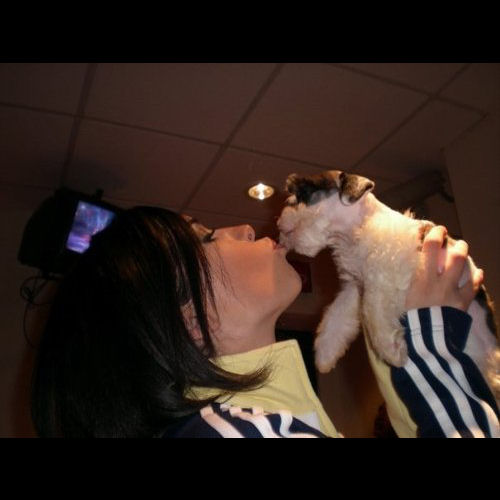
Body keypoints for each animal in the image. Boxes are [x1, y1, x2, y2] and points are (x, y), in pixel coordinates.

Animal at [277, 170, 499, 405]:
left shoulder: (386, 268)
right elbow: (336, 318)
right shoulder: (355, 287)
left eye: (303, 192)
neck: (355, 231)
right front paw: (325, 355)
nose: (279, 221)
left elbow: (373, 309)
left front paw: (391, 350)